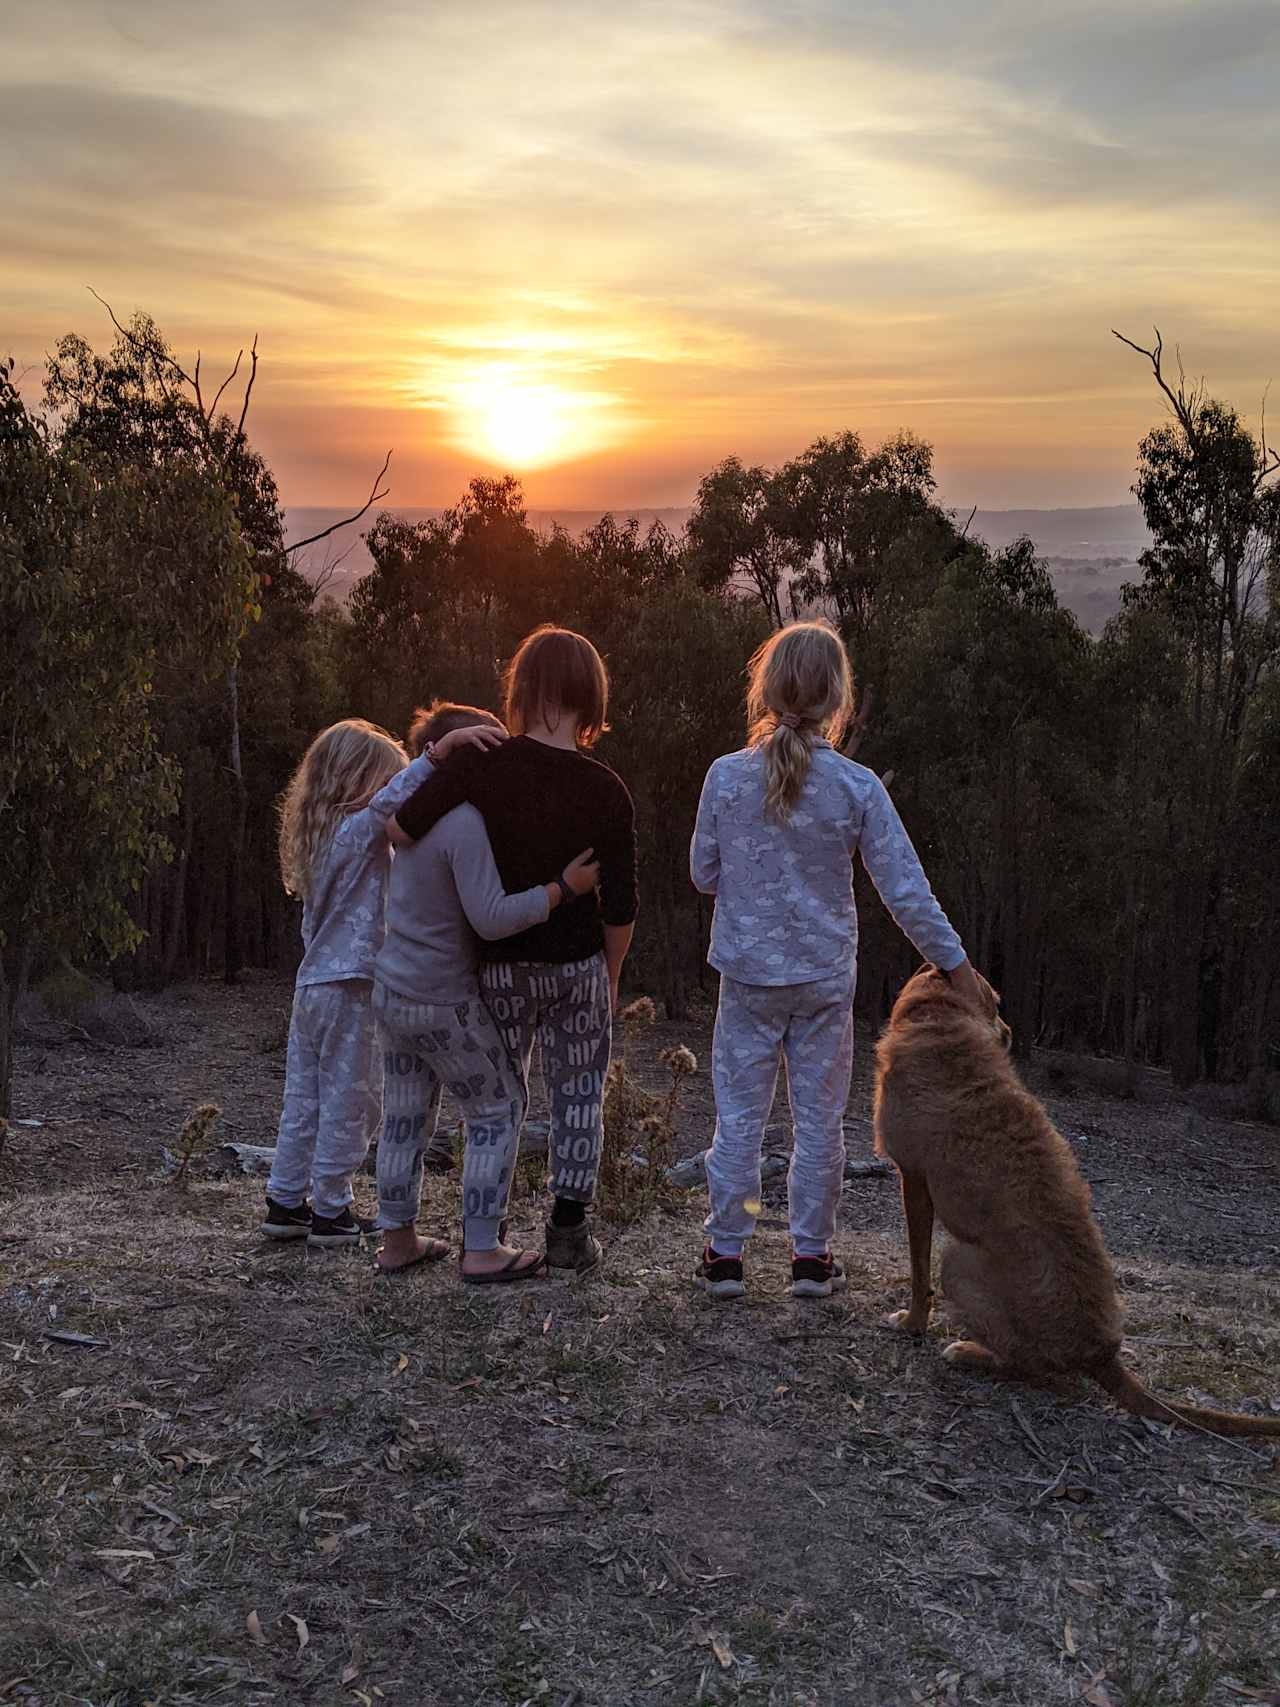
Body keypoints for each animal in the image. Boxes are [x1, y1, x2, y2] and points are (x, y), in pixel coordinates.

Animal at [880, 969, 1280, 1433]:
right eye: (996, 1003)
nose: (1010, 1034)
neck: (939, 1017)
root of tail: (1101, 1352)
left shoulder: (913, 1179)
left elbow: (917, 1271)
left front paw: (912, 1324)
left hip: (958, 1263)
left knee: (1031, 1365)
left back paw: (971, 1353)